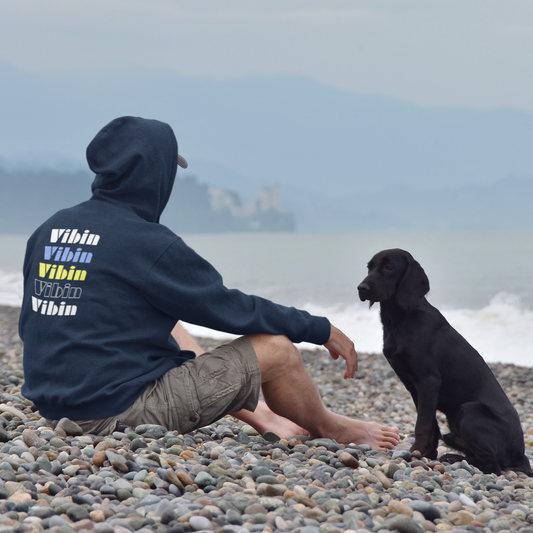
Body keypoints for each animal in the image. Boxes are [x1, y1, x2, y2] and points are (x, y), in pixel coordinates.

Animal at [356, 246, 528, 474]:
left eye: (389, 267)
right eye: (370, 267)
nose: (362, 288)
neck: (401, 320)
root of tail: (520, 454)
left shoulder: (429, 381)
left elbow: (422, 424)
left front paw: (416, 452)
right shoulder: (415, 386)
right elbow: (431, 425)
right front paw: (428, 453)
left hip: (469, 410)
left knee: (494, 464)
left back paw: (457, 459)